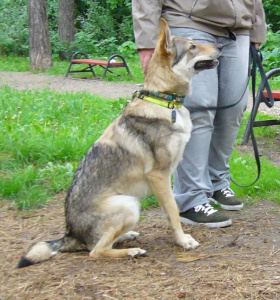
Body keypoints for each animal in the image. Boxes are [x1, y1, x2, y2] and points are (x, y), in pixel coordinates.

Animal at [18, 18, 221, 268]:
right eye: (193, 46)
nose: (221, 45)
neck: (164, 101)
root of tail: (70, 234)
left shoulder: (166, 177)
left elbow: (170, 211)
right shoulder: (159, 175)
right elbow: (174, 212)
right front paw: (183, 241)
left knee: (100, 244)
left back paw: (127, 236)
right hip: (129, 205)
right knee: (96, 251)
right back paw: (132, 251)